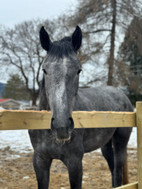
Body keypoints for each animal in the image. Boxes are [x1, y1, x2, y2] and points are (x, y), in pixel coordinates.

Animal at [28, 25, 133, 188]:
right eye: (45, 69)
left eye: (79, 70)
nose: (62, 126)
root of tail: (122, 95)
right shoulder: (40, 161)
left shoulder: (75, 163)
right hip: (106, 145)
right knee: (112, 167)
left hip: (120, 143)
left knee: (118, 170)